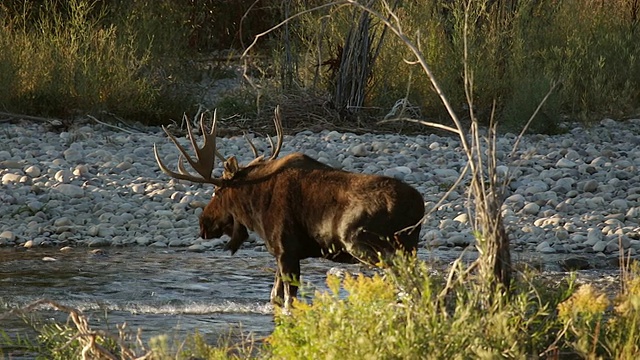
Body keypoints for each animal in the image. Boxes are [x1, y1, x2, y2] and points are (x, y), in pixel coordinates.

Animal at [154, 107, 424, 306]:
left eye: (217, 191)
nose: (204, 224)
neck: (255, 208)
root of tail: (417, 206)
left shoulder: (287, 250)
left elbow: (287, 302)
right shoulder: (282, 253)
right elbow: (274, 297)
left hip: (369, 244)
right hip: (409, 246)